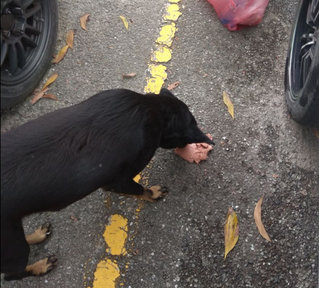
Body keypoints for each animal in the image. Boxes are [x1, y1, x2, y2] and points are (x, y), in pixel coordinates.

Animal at [1, 88, 215, 280]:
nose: (187, 147)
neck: (152, 109)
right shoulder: (119, 181)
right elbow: (140, 190)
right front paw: (153, 193)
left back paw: (37, 235)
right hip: (14, 247)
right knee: (12, 274)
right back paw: (40, 266)